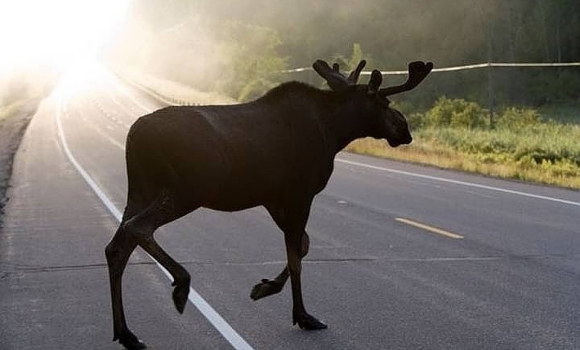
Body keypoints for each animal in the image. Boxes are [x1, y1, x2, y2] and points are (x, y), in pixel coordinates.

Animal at [105, 58, 430, 348]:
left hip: (141, 190)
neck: (336, 132)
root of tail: (134, 135)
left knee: (116, 248)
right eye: (385, 103)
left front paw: (265, 287)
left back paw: (126, 333)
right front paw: (303, 316)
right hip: (185, 190)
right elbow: (296, 257)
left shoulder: (273, 198)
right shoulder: (300, 193)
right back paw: (181, 285)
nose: (405, 130)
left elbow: (303, 246)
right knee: (138, 228)